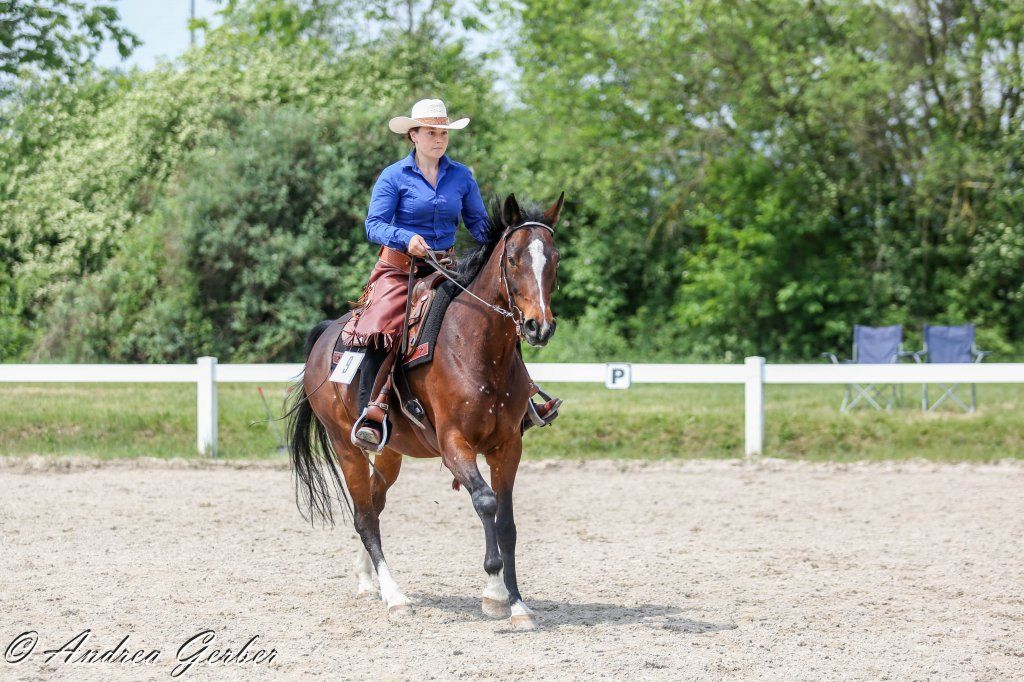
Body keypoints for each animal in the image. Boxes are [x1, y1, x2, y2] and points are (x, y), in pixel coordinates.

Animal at [287, 192, 563, 630]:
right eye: (513, 257)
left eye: (554, 258)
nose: (540, 327)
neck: (477, 347)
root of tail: (327, 334)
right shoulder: (454, 445)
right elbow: (485, 502)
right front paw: (494, 592)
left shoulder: (507, 447)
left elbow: (507, 521)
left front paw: (518, 604)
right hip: (346, 446)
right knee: (364, 518)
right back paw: (394, 596)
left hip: (390, 452)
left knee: (374, 507)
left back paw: (367, 581)